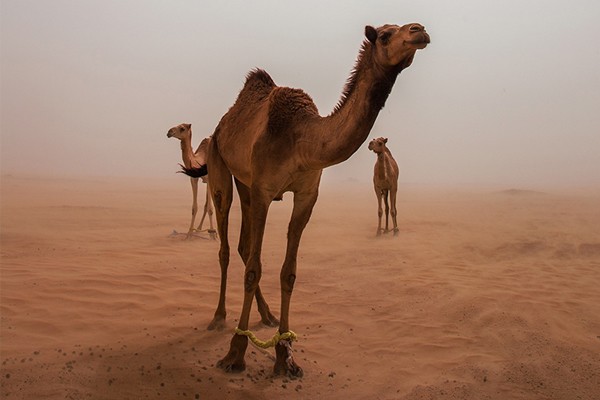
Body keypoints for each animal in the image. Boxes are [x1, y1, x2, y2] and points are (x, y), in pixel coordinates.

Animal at [183, 22, 432, 378]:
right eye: (385, 34)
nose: (419, 30)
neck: (302, 140)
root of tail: (221, 126)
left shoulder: (306, 196)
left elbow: (288, 272)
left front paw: (285, 354)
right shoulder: (263, 190)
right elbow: (254, 269)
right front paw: (236, 352)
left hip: (245, 184)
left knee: (244, 245)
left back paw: (267, 315)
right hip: (221, 169)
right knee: (227, 246)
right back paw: (219, 318)